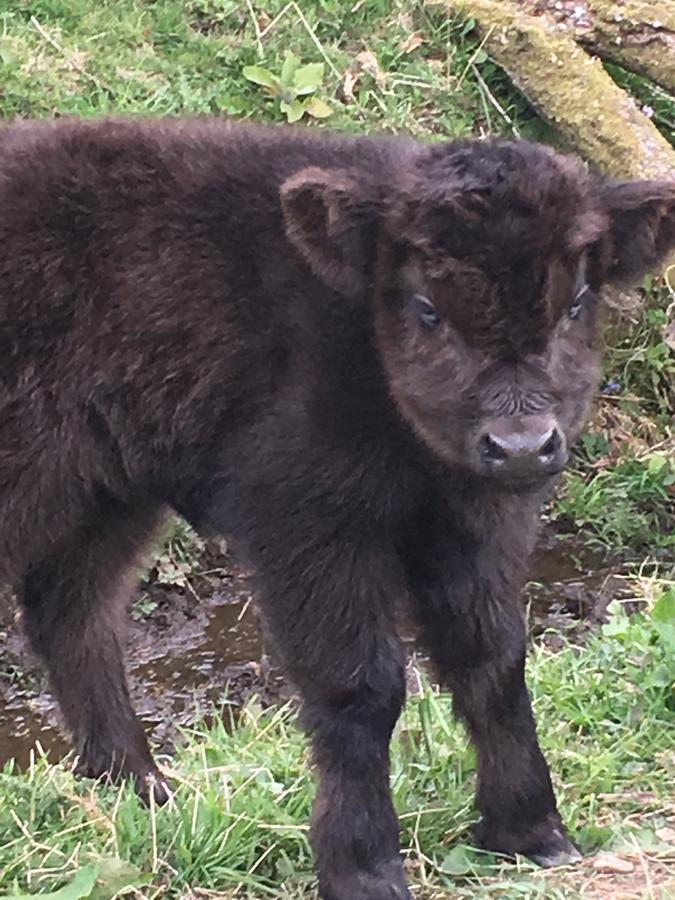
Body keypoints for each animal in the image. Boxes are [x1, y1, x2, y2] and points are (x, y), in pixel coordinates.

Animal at [1, 119, 675, 900]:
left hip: (110, 491)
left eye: (574, 303)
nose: (519, 445)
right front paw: (364, 868)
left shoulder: (476, 527)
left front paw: (531, 831)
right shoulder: (309, 525)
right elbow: (361, 686)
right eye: (426, 308)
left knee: (72, 612)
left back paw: (141, 786)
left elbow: (493, 660)